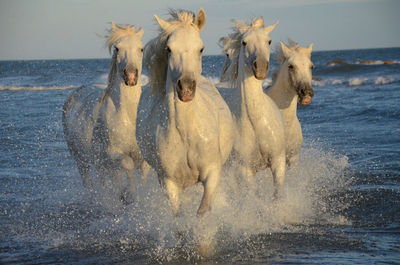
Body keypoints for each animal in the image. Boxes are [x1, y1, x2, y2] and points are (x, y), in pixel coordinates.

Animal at [61, 22, 149, 195]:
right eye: (117, 48)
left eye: (141, 49)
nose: (130, 76)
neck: (128, 115)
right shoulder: (112, 153)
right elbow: (127, 164)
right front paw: (127, 195)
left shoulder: (142, 155)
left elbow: (143, 174)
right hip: (82, 159)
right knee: (89, 180)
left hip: (100, 164)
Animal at [137, 8, 234, 217]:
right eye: (169, 49)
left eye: (201, 48)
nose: (187, 88)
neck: (187, 133)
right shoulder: (169, 183)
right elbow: (179, 215)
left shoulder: (212, 173)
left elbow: (202, 211)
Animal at [217, 17, 286, 198]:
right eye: (244, 42)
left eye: (269, 41)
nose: (260, 67)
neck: (256, 122)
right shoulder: (245, 170)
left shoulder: (278, 161)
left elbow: (277, 195)